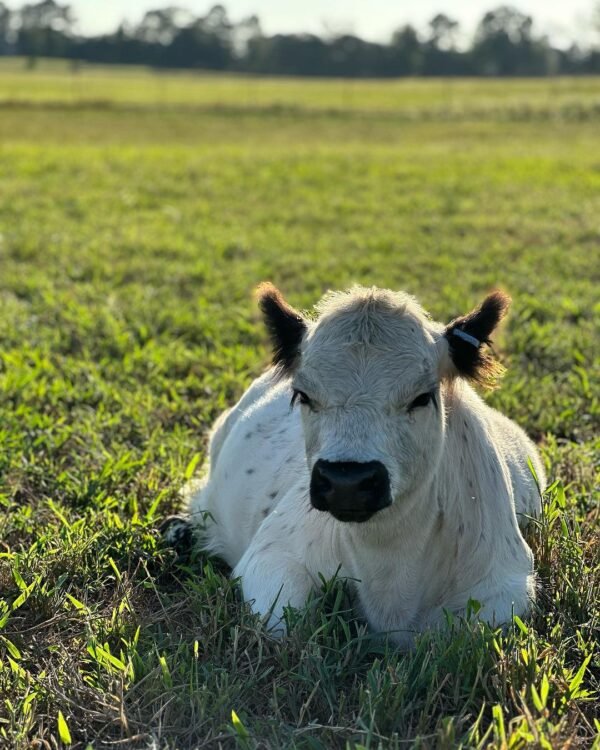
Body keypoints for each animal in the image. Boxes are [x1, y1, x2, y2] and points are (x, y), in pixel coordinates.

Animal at [166, 284, 548, 648]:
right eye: (303, 395)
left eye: (422, 398)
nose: (346, 482)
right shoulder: (270, 557)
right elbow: (288, 625)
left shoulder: (504, 588)